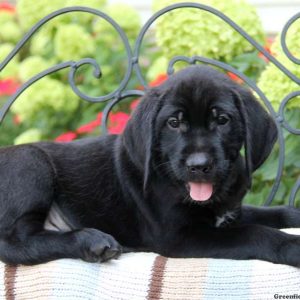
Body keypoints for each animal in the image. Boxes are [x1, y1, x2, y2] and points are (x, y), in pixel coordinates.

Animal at [0, 65, 300, 264]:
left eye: (222, 120)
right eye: (174, 123)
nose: (199, 165)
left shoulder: (229, 213)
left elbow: (271, 213)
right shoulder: (179, 237)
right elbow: (255, 233)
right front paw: (292, 246)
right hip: (31, 163)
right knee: (14, 244)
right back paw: (93, 241)